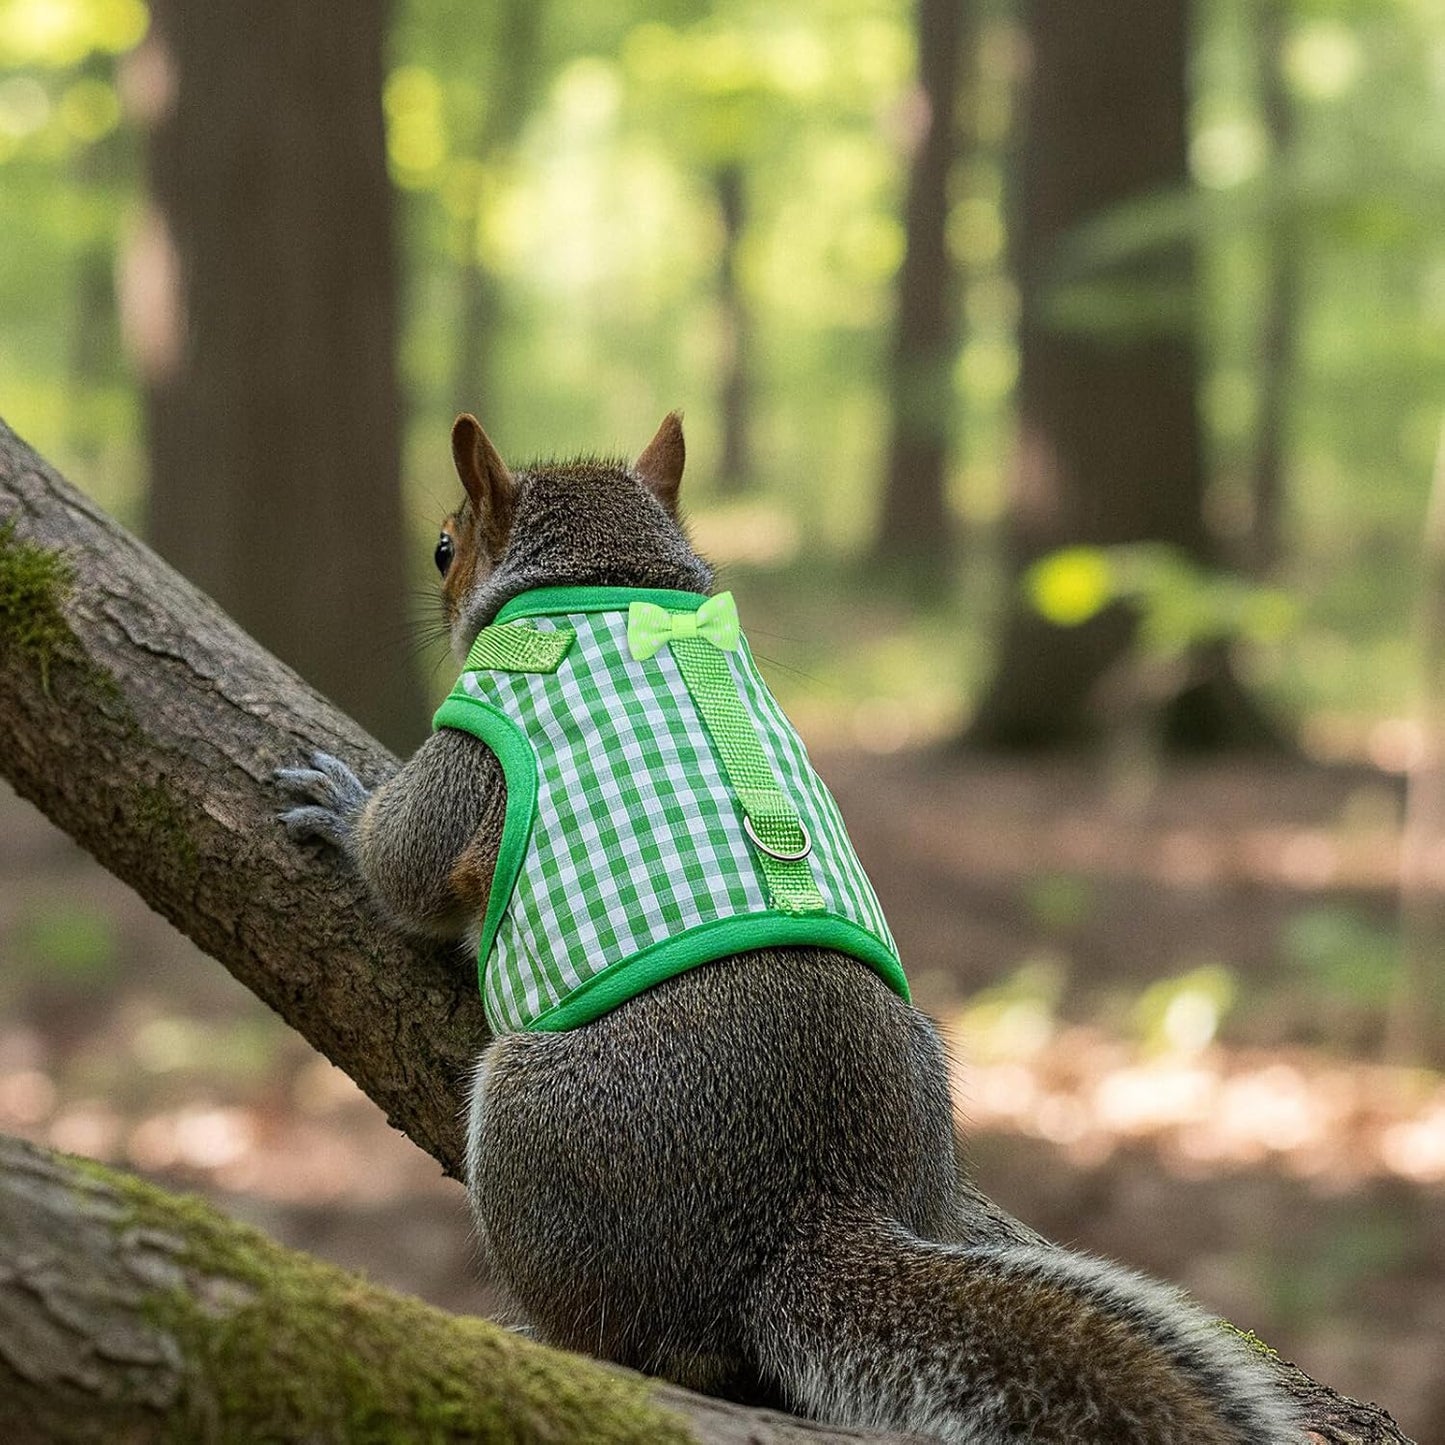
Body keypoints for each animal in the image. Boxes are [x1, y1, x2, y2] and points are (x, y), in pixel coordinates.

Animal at [277, 412, 1300, 1444]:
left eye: (444, 547)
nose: (436, 590)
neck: (608, 576)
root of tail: (806, 1212)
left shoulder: (471, 757)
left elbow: (403, 863)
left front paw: (344, 808)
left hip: (533, 1132)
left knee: (638, 1340)